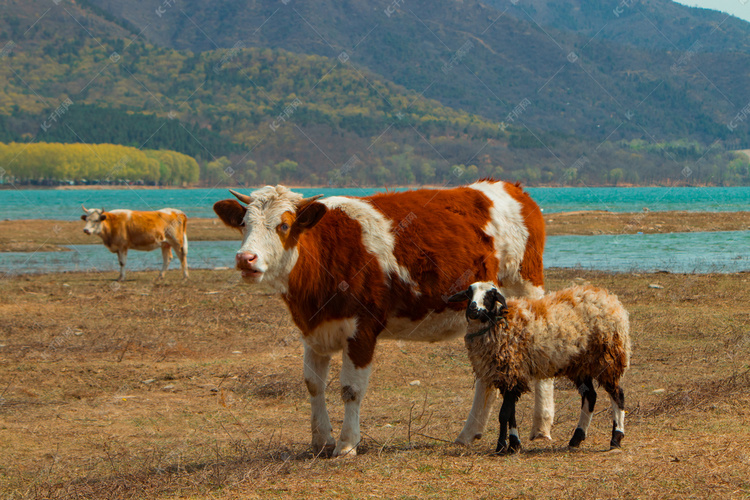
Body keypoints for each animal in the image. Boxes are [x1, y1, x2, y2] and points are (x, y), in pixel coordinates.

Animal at [214, 183, 556, 458]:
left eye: (283, 225)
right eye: (244, 224)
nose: (245, 259)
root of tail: (511, 188)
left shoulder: (362, 329)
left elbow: (351, 388)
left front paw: (346, 444)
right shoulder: (313, 330)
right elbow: (313, 385)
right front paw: (321, 441)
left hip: (526, 286)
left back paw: (542, 427)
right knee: (486, 373)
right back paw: (469, 433)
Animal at [450, 284, 632, 456]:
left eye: (490, 295)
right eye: (469, 293)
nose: (473, 309)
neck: (500, 322)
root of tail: (608, 297)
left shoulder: (512, 372)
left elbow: (503, 414)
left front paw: (501, 446)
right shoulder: (509, 376)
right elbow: (511, 414)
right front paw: (514, 445)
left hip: (607, 358)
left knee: (618, 395)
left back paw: (616, 439)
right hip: (580, 364)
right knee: (590, 396)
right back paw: (576, 439)